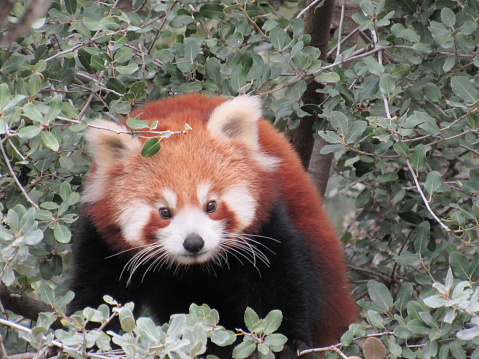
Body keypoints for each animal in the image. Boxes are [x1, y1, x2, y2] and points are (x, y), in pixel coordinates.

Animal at [70, 94, 356, 358]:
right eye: (165, 212)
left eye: (211, 205)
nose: (194, 242)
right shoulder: (103, 241)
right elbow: (98, 296)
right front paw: (91, 342)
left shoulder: (266, 224)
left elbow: (279, 285)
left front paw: (286, 343)